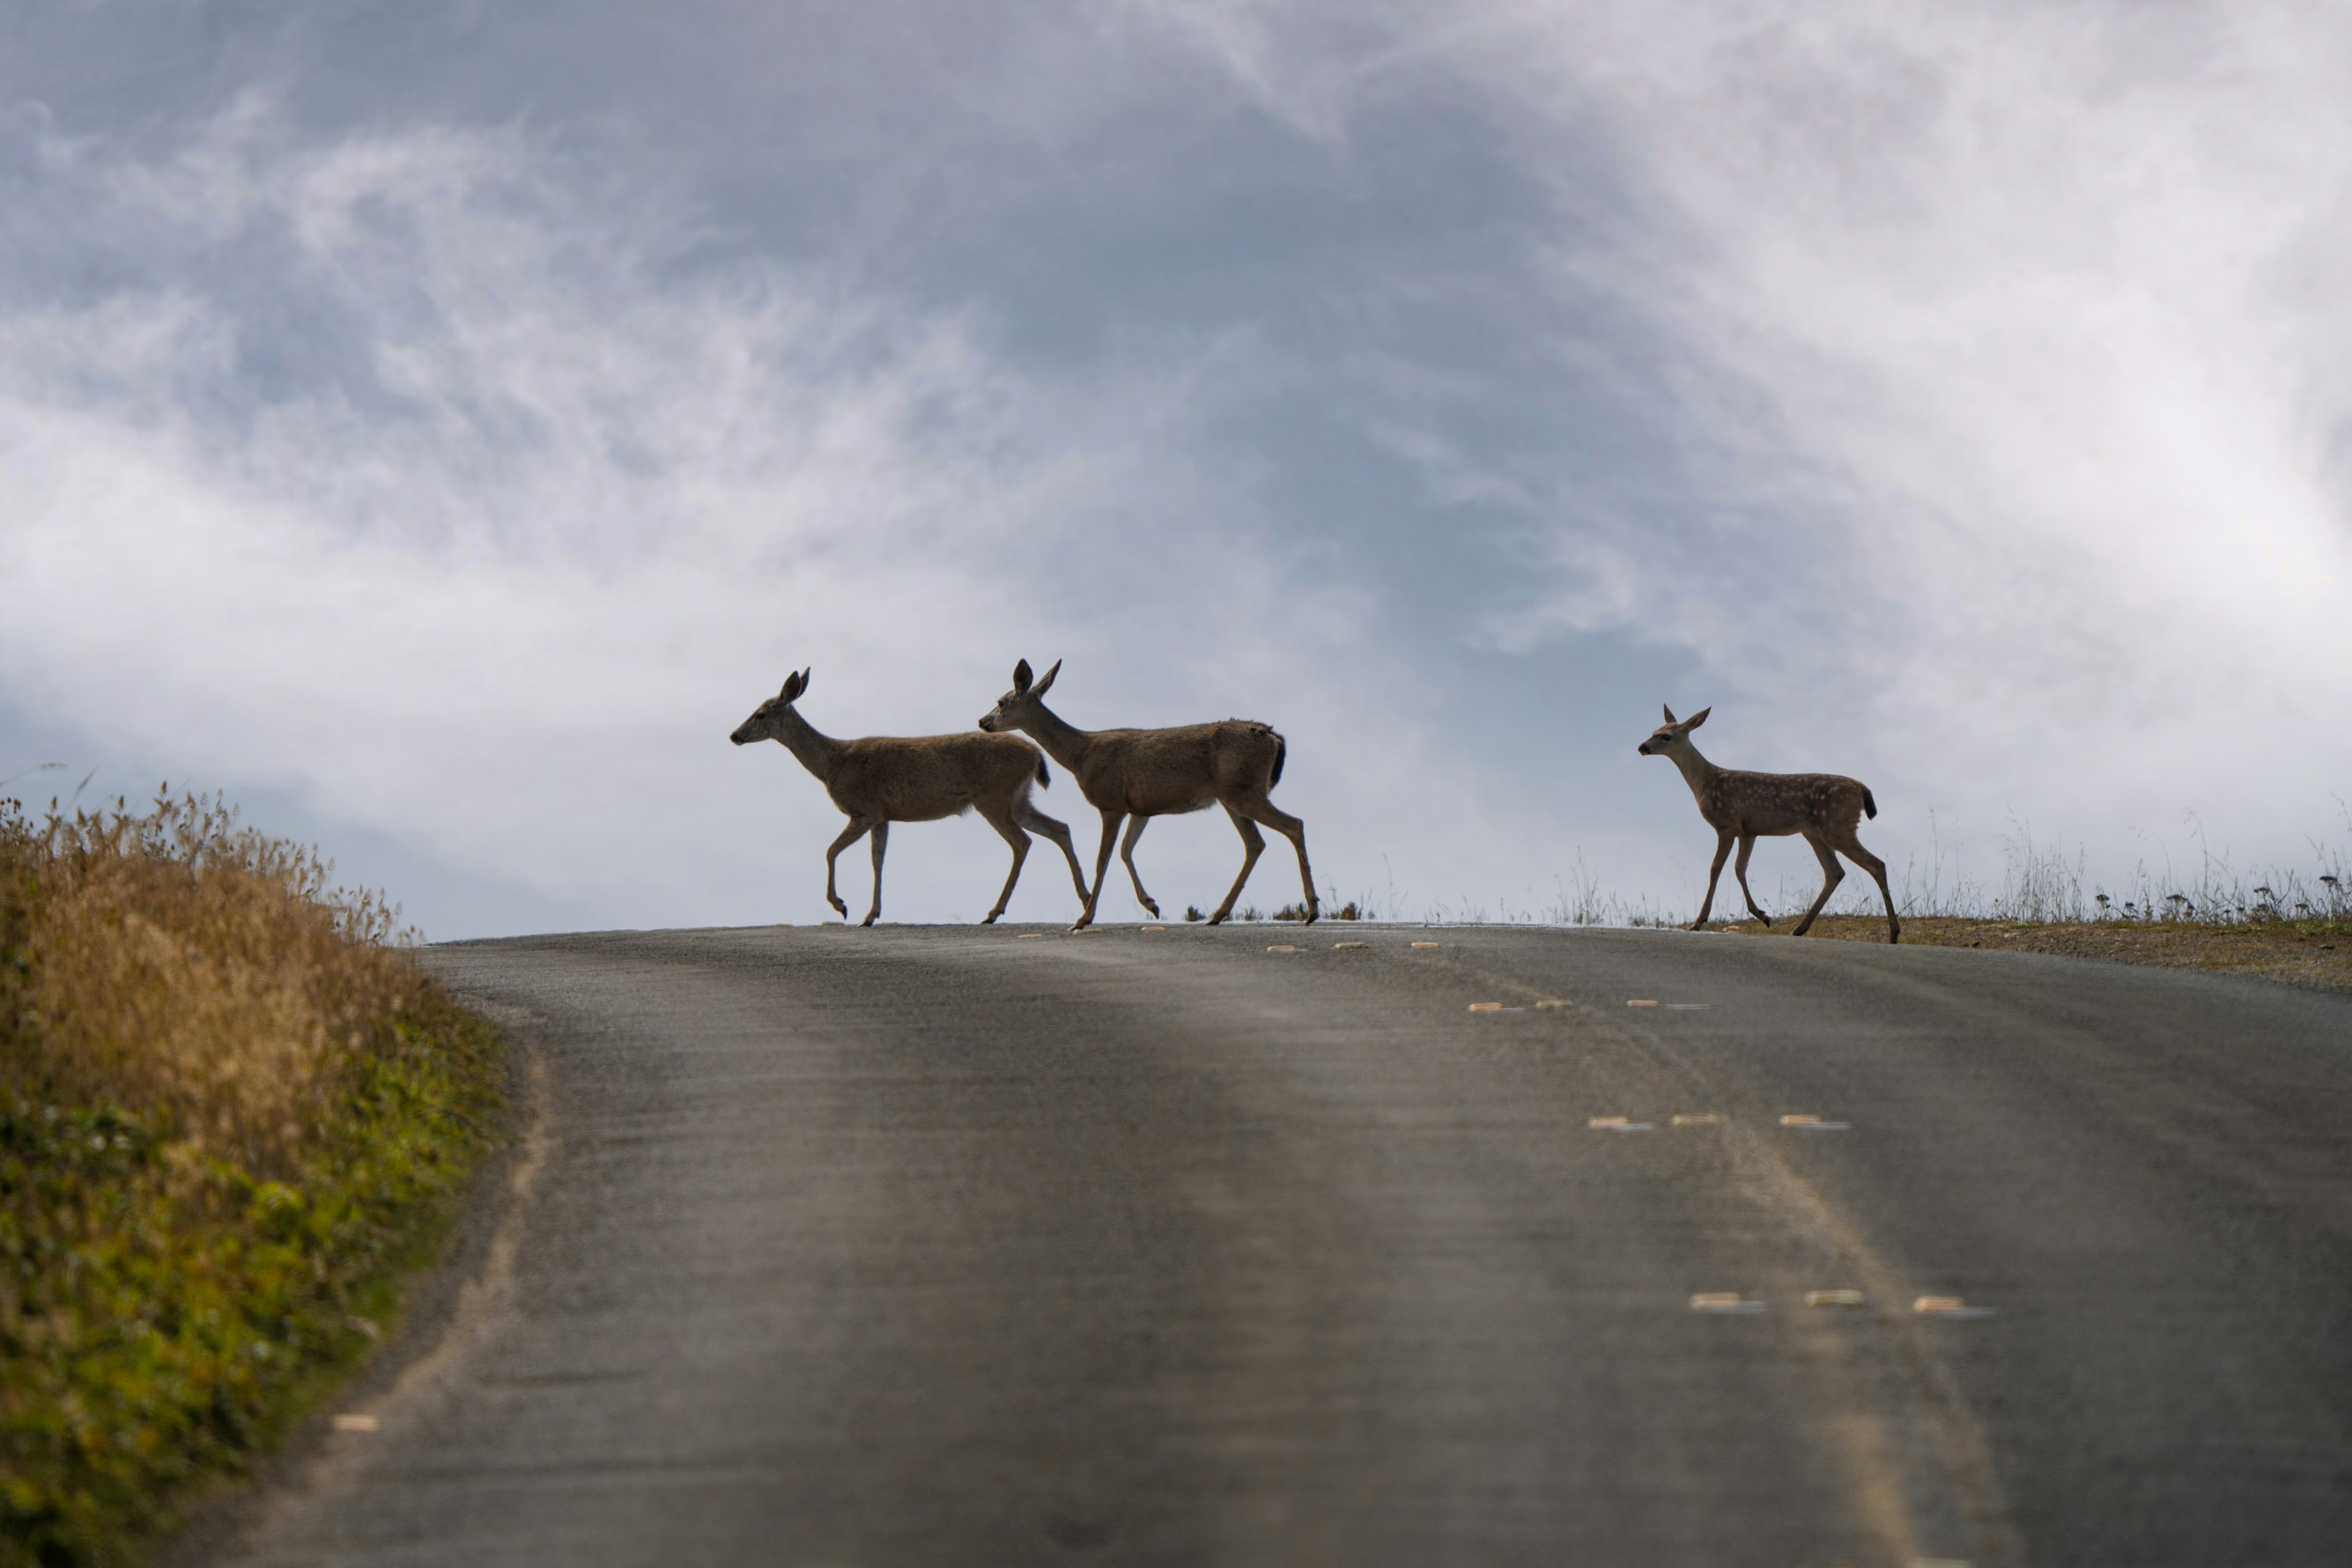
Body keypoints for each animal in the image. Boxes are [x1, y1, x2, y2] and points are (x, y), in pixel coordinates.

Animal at [724, 667, 1091, 926]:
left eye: (760, 713)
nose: (734, 735)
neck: (831, 764)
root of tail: (1035, 754)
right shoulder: (883, 816)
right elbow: (878, 859)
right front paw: (870, 915)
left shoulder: (865, 810)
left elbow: (830, 851)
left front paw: (842, 906)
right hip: (1018, 800)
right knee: (1059, 828)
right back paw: (1084, 899)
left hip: (994, 798)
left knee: (1022, 842)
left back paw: (993, 911)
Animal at [969, 653, 1307, 926]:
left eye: (1001, 702)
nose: (982, 721)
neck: (1080, 755)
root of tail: (1274, 738)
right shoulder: (1141, 808)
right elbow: (1125, 850)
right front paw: (1151, 904)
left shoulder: (1111, 803)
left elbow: (1103, 858)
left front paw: (1084, 919)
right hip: (1233, 796)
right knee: (1255, 843)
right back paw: (1219, 914)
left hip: (1243, 790)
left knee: (1294, 824)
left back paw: (1311, 910)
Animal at [1646, 709, 1900, 944]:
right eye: (1653, 731)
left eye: (1666, 736)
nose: (1642, 747)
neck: (1704, 783)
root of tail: (1862, 788)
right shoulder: (1748, 831)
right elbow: (1740, 868)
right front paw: (1762, 915)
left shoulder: (1726, 825)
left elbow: (1716, 868)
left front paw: (1699, 922)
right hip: (1815, 832)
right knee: (1835, 872)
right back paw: (1799, 928)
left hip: (1837, 826)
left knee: (1876, 864)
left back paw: (1894, 933)